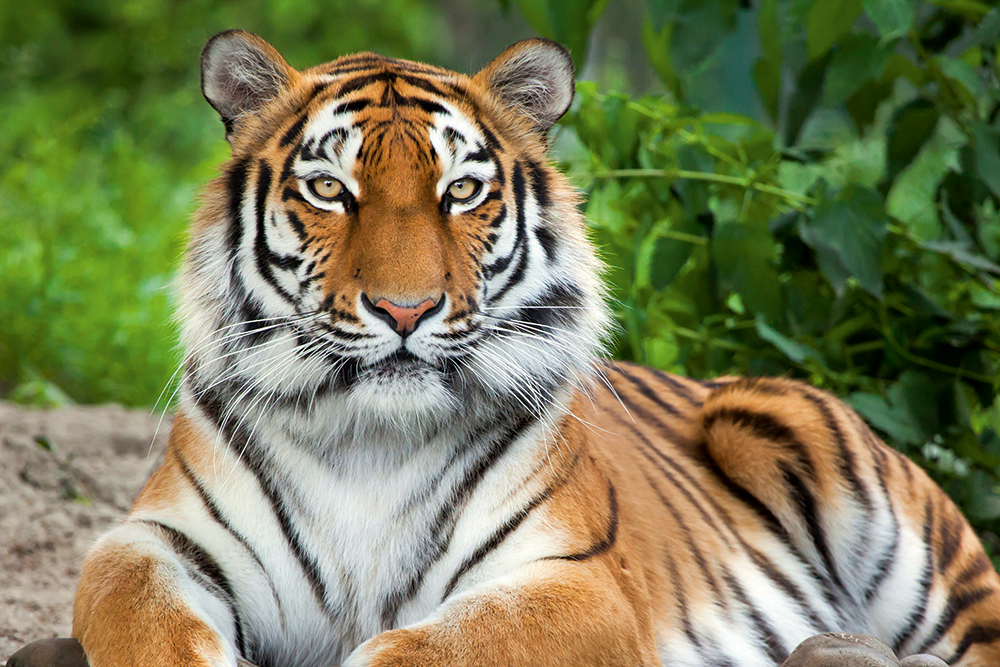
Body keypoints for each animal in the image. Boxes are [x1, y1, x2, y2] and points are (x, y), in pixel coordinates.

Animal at [56, 29, 1000, 667]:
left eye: (461, 190)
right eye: (329, 188)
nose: (405, 309)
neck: (368, 438)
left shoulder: (575, 581)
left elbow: (425, 645)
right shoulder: (152, 539)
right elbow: (137, 608)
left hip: (796, 435)